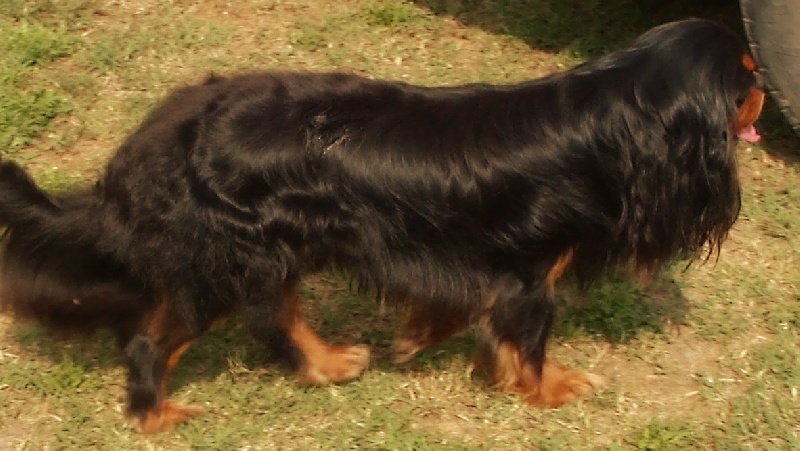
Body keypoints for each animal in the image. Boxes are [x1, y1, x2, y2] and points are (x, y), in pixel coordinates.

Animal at [0, 19, 764, 433]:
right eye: (746, 78)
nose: (767, 91)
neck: (613, 113)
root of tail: (160, 136)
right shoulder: (528, 273)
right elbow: (526, 339)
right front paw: (547, 390)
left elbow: (455, 303)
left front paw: (418, 335)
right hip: (219, 258)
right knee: (154, 339)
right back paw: (154, 413)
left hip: (271, 248)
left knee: (276, 315)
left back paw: (328, 364)